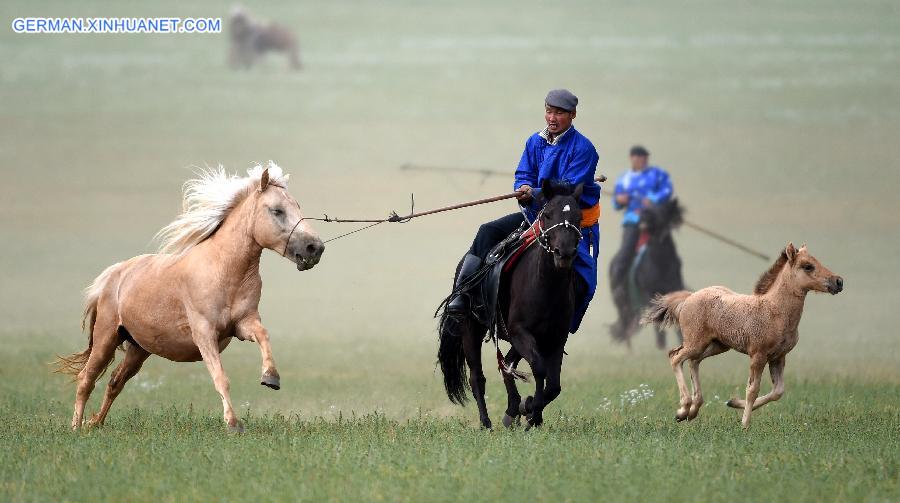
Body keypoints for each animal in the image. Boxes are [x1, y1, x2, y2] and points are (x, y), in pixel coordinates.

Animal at [55, 163, 324, 432]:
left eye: (298, 206)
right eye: (277, 210)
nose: (315, 248)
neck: (224, 270)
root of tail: (113, 275)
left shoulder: (243, 324)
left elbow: (263, 335)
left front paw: (271, 377)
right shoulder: (204, 333)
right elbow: (220, 378)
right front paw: (233, 424)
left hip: (138, 349)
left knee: (114, 382)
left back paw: (95, 423)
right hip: (107, 336)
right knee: (86, 379)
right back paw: (76, 427)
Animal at [438, 181, 584, 430]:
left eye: (579, 216)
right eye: (547, 214)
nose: (564, 253)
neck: (545, 287)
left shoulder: (556, 338)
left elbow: (553, 385)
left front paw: (530, 412)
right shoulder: (520, 332)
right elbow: (538, 368)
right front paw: (532, 414)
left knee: (506, 364)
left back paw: (513, 409)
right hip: (471, 328)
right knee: (478, 376)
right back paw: (487, 422)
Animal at [608, 199, 684, 348]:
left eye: (662, 207)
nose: (644, 213)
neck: (661, 264)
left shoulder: (674, 288)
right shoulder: (650, 294)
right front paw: (661, 346)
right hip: (622, 301)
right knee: (625, 323)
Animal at [644, 244, 840, 430]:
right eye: (808, 266)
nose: (839, 281)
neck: (775, 311)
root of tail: (689, 297)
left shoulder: (779, 357)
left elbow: (778, 391)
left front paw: (733, 403)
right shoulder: (758, 355)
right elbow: (752, 389)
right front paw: (744, 424)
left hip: (717, 345)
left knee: (693, 361)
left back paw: (692, 411)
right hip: (695, 342)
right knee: (675, 357)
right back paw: (684, 408)